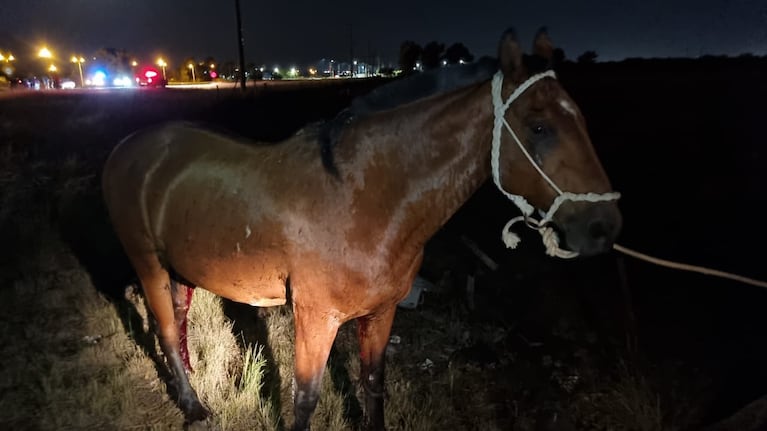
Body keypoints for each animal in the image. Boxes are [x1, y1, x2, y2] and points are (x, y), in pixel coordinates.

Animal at [102, 28, 622, 430]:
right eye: (538, 128)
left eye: (581, 117)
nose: (604, 227)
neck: (361, 199)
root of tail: (126, 148)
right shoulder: (315, 318)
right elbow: (305, 402)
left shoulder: (382, 312)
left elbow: (373, 384)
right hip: (148, 263)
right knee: (164, 328)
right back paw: (193, 406)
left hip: (181, 266)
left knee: (179, 320)